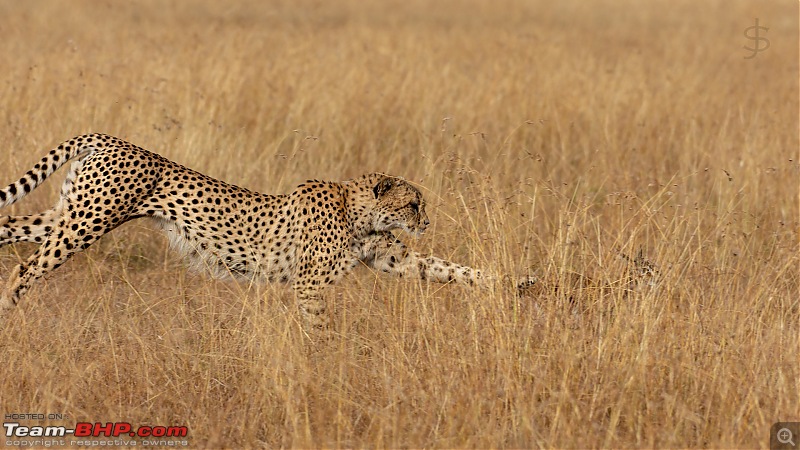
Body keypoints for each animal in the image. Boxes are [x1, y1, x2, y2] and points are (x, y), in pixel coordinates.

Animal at [0, 132, 490, 328]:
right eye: (413, 204)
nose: (427, 222)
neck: (357, 209)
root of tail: (110, 138)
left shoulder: (391, 259)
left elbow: (443, 267)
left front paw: (503, 282)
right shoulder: (309, 284)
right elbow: (319, 325)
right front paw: (328, 359)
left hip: (70, 215)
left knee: (7, 223)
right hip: (87, 222)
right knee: (25, 268)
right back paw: (8, 307)